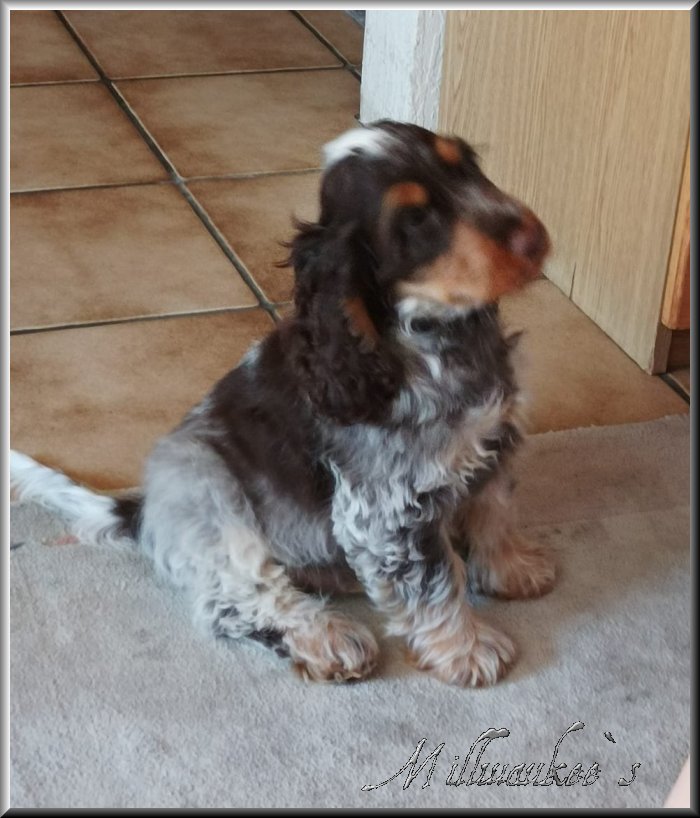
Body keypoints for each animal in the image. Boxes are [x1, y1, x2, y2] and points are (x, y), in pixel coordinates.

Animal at [11, 120, 554, 688]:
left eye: (467, 164)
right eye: (415, 219)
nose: (534, 237)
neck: (439, 339)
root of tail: (142, 510)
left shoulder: (495, 439)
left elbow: (496, 508)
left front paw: (514, 569)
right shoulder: (386, 512)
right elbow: (433, 581)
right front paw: (468, 649)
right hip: (210, 494)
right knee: (236, 601)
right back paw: (330, 640)